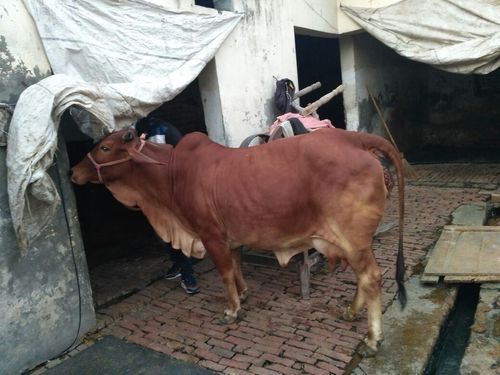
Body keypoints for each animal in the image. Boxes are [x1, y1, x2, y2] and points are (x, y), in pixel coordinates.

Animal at [71, 126, 406, 356]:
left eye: (105, 147)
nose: (73, 171)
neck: (171, 176)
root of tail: (355, 138)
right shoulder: (230, 238)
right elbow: (236, 268)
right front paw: (243, 294)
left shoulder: (211, 235)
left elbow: (225, 273)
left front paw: (232, 311)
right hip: (354, 241)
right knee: (364, 277)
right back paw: (351, 312)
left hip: (352, 237)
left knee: (371, 277)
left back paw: (372, 338)